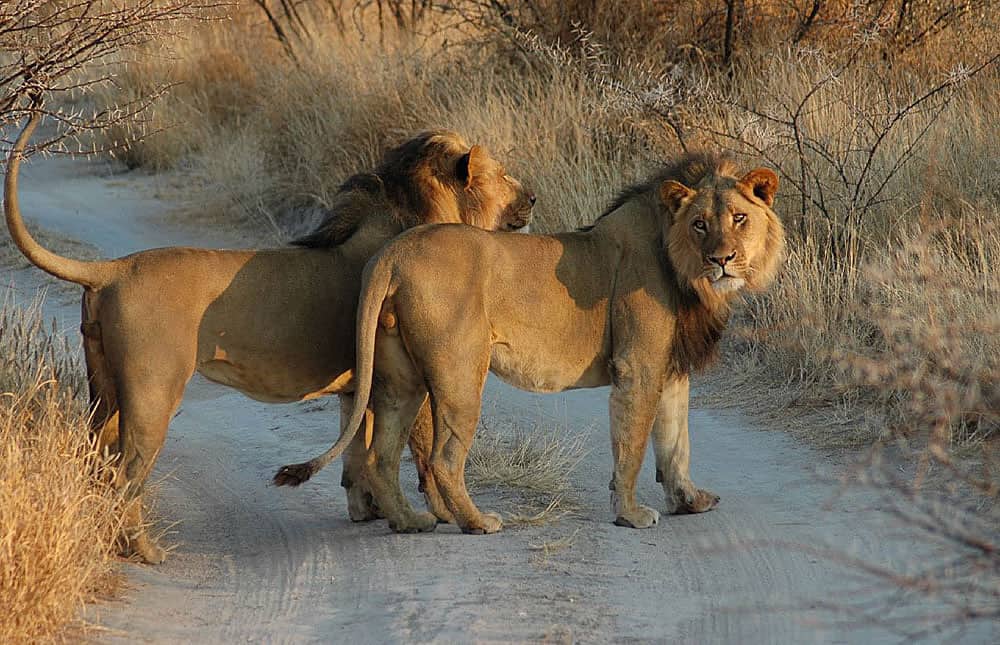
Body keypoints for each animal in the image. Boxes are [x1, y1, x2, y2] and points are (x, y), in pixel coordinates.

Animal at [4, 105, 534, 562]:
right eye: (505, 174)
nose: (532, 199)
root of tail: (112, 269)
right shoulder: (410, 374)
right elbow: (421, 453)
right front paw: (439, 517)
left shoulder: (359, 383)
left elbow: (357, 451)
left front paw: (366, 511)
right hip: (151, 394)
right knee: (126, 477)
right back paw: (143, 551)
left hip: (104, 392)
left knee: (96, 462)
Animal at [275, 152, 785, 535]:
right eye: (699, 224)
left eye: (739, 218)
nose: (722, 259)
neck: (682, 268)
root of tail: (393, 252)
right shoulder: (636, 366)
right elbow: (634, 446)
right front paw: (631, 514)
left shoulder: (671, 364)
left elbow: (677, 441)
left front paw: (690, 500)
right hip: (460, 373)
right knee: (443, 459)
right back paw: (477, 522)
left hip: (402, 379)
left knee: (381, 455)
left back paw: (410, 522)